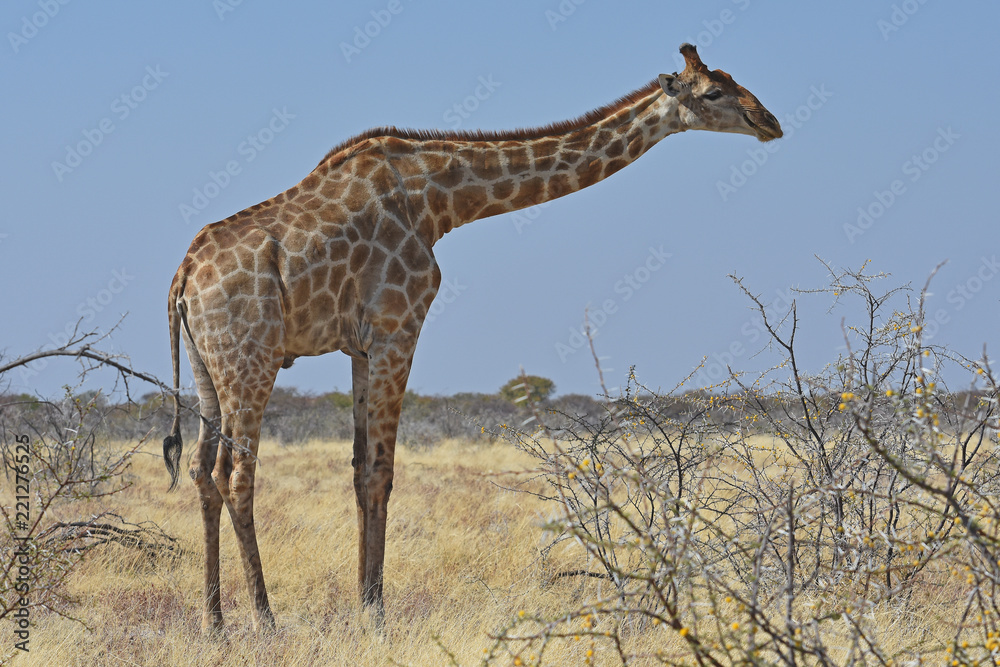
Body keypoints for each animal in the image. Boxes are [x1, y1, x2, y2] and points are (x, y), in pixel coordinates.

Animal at [162, 43, 782, 633]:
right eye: (712, 92)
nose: (770, 121)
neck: (440, 201)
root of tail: (183, 280)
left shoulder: (362, 344)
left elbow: (360, 469)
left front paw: (365, 604)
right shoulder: (399, 325)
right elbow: (381, 472)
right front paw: (377, 614)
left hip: (206, 368)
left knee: (200, 471)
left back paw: (214, 623)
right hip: (252, 361)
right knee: (235, 475)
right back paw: (264, 620)